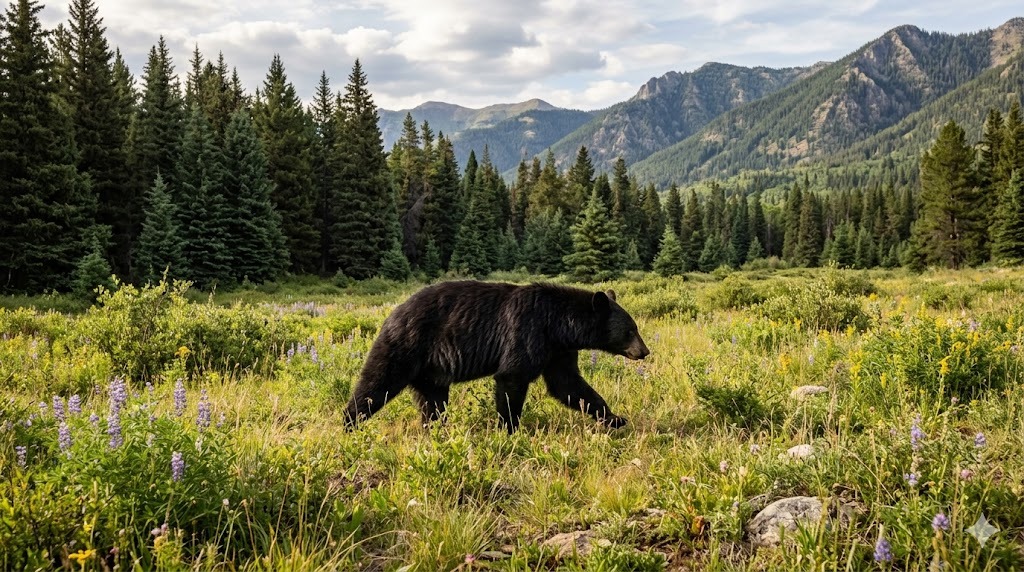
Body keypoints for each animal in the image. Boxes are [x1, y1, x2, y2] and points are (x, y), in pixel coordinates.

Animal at [342, 280, 649, 433]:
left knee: (433, 403)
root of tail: (392, 313)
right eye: (631, 330)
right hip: (404, 346)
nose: (645, 351)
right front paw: (509, 428)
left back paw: (436, 431)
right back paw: (349, 424)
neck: (558, 325)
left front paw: (615, 419)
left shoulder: (557, 351)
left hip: (430, 372)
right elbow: (512, 377)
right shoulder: (528, 331)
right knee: (376, 385)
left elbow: (569, 385)